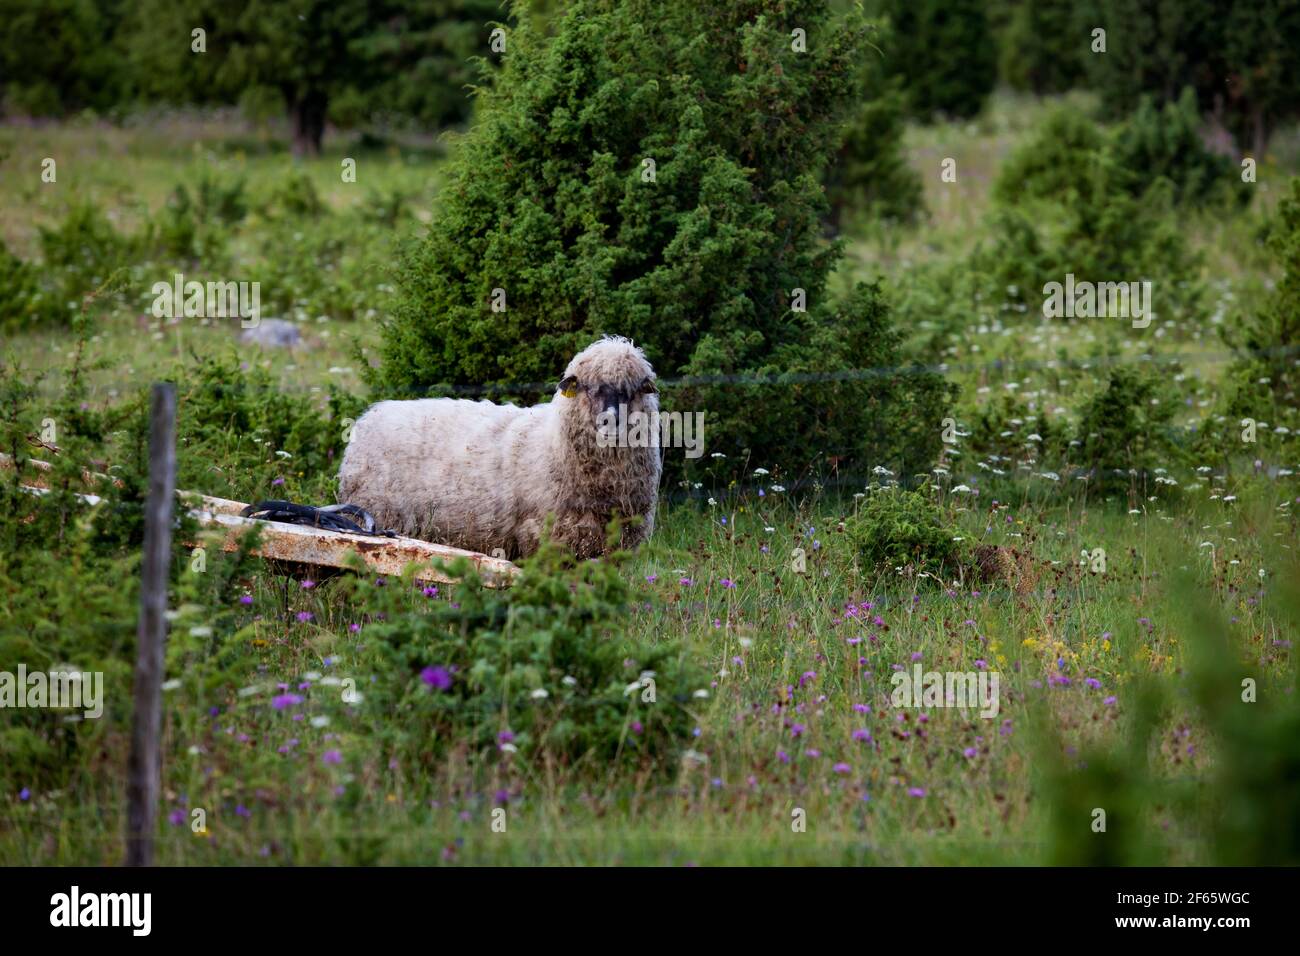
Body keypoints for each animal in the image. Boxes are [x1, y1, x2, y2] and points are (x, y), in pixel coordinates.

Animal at [338, 335, 660, 561]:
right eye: (589, 388)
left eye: (630, 391)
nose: (609, 420)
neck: (553, 444)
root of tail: (369, 417)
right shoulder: (544, 537)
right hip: (381, 515)